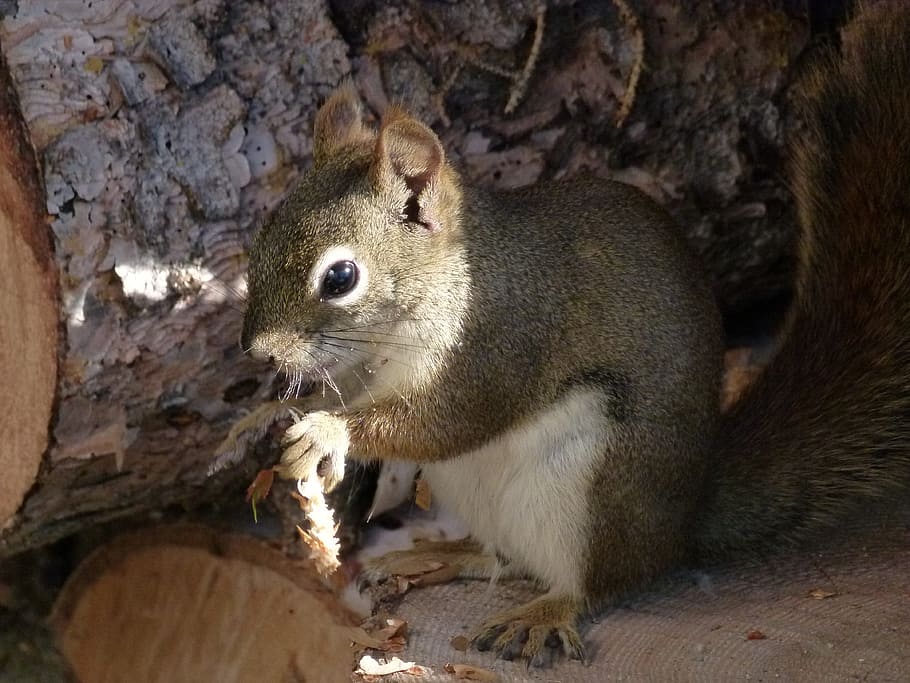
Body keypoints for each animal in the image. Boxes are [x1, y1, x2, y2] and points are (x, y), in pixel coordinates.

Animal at [225, 1, 910, 666]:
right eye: (264, 237)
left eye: (340, 277)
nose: (258, 351)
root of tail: (682, 522)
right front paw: (268, 415)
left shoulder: (501, 342)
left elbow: (450, 421)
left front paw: (326, 429)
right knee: (500, 558)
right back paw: (438, 555)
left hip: (596, 487)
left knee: (599, 582)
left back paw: (546, 612)